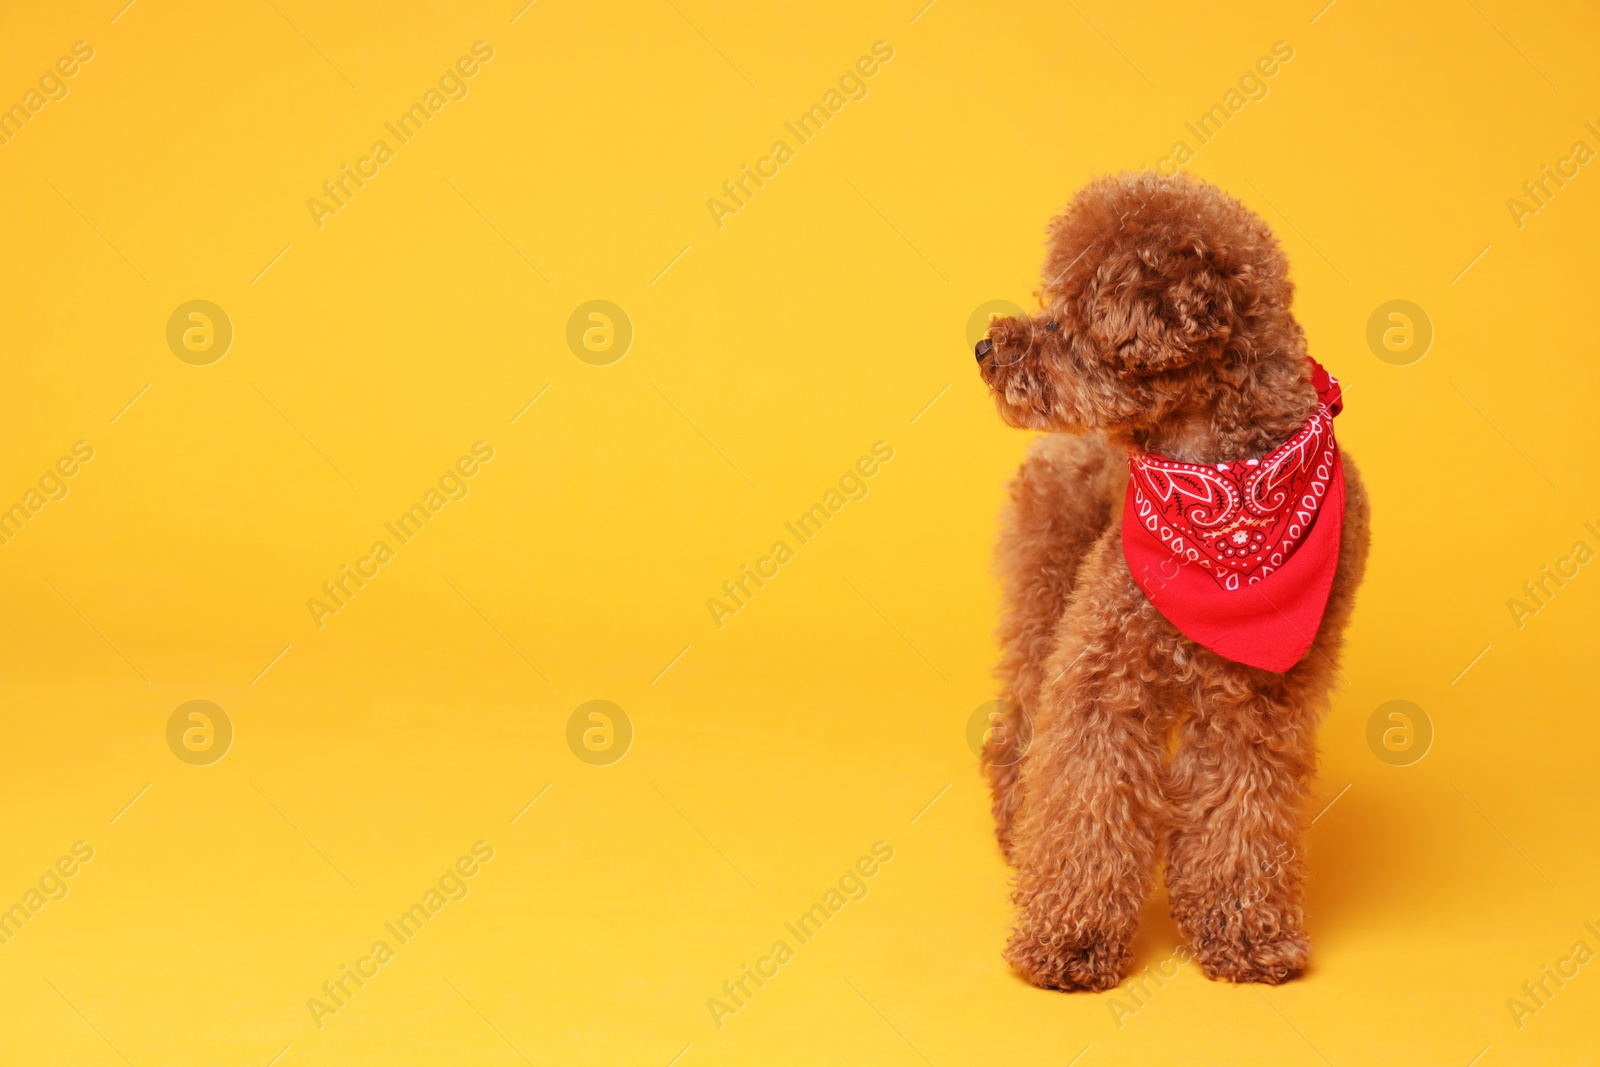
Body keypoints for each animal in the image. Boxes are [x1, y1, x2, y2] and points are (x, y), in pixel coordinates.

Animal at [972, 168, 1376, 991]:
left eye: (1067, 322)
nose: (984, 347)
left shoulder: (1258, 704)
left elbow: (1240, 816)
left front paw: (1245, 934)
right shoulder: (1102, 677)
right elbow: (1086, 797)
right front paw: (1069, 941)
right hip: (1044, 601)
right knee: (1019, 726)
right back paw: (1015, 824)